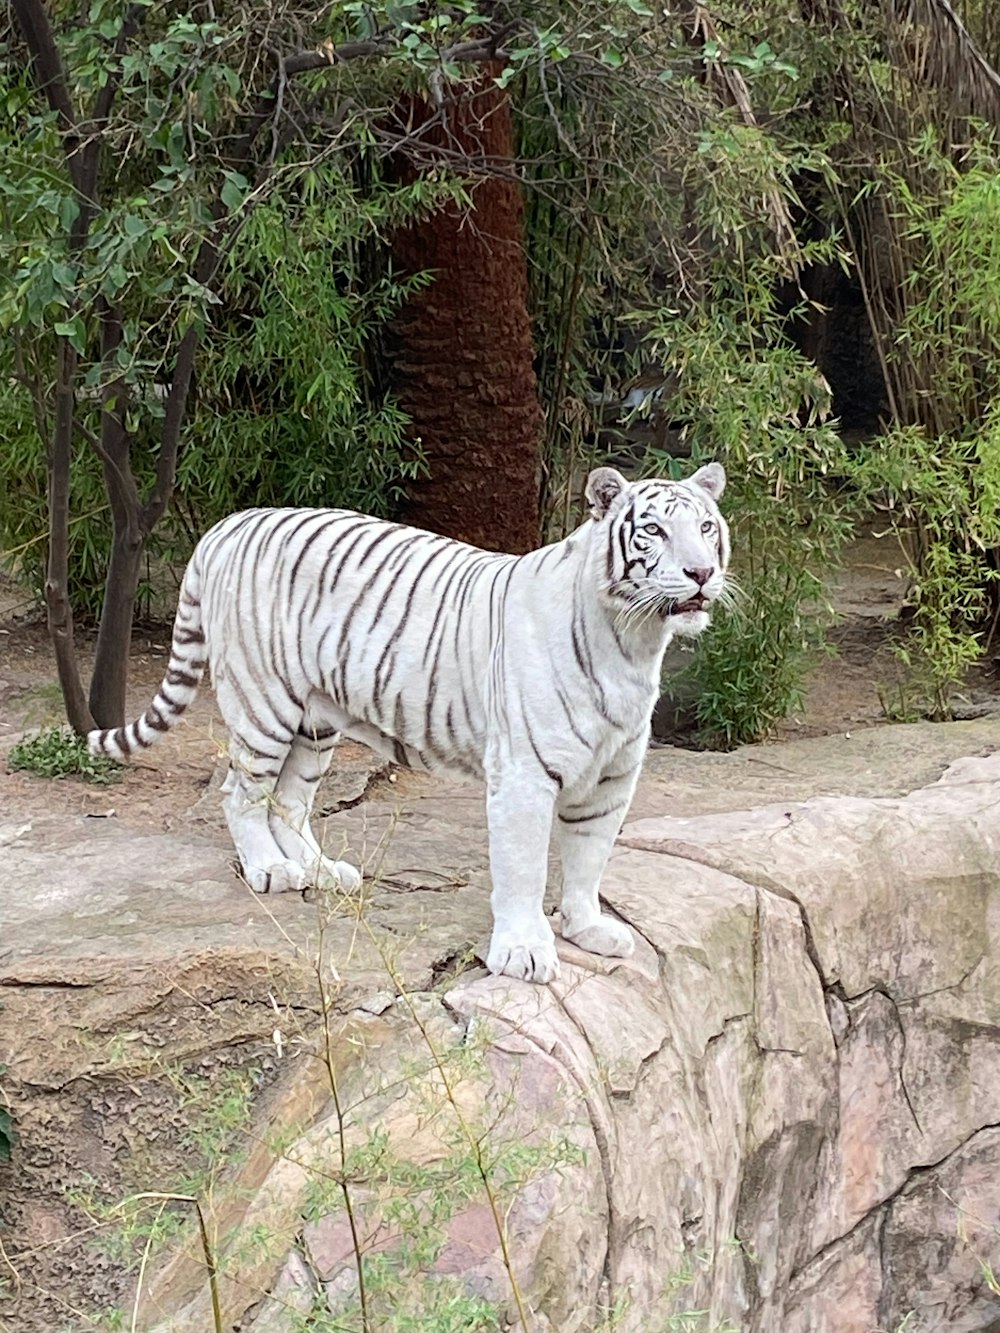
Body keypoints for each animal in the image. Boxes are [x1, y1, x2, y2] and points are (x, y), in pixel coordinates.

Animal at [90, 463, 730, 986]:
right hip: (263, 704)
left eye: (706, 528)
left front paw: (587, 928)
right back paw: (270, 870)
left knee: (289, 801)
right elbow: (524, 867)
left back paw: (322, 872)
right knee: (240, 793)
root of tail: (227, 525)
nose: (701, 572)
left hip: (314, 723)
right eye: (654, 531)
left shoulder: (612, 779)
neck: (634, 642)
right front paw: (524, 953)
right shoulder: (525, 774)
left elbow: (589, 859)